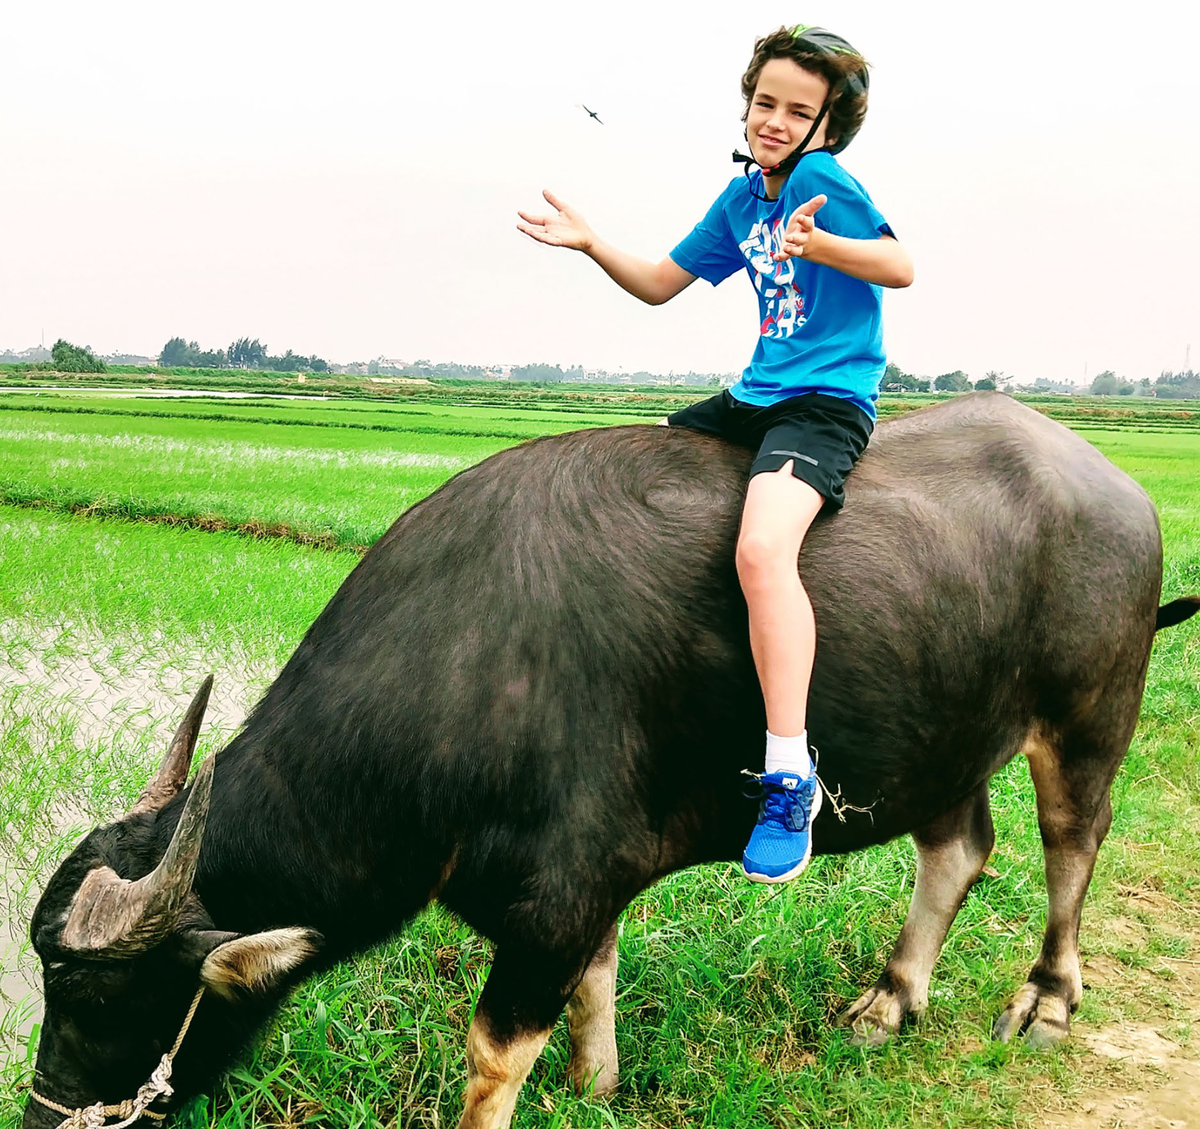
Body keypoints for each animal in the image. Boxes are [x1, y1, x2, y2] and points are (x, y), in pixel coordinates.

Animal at [22, 392, 1199, 1128]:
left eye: (96, 996)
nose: (43, 1115)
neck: (464, 674)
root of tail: (1119, 490)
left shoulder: (552, 899)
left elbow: (496, 1054)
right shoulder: (584, 886)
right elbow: (597, 980)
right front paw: (597, 1085)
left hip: (1090, 714)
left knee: (1071, 843)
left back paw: (1046, 1001)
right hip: (942, 734)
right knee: (957, 848)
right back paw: (888, 1000)